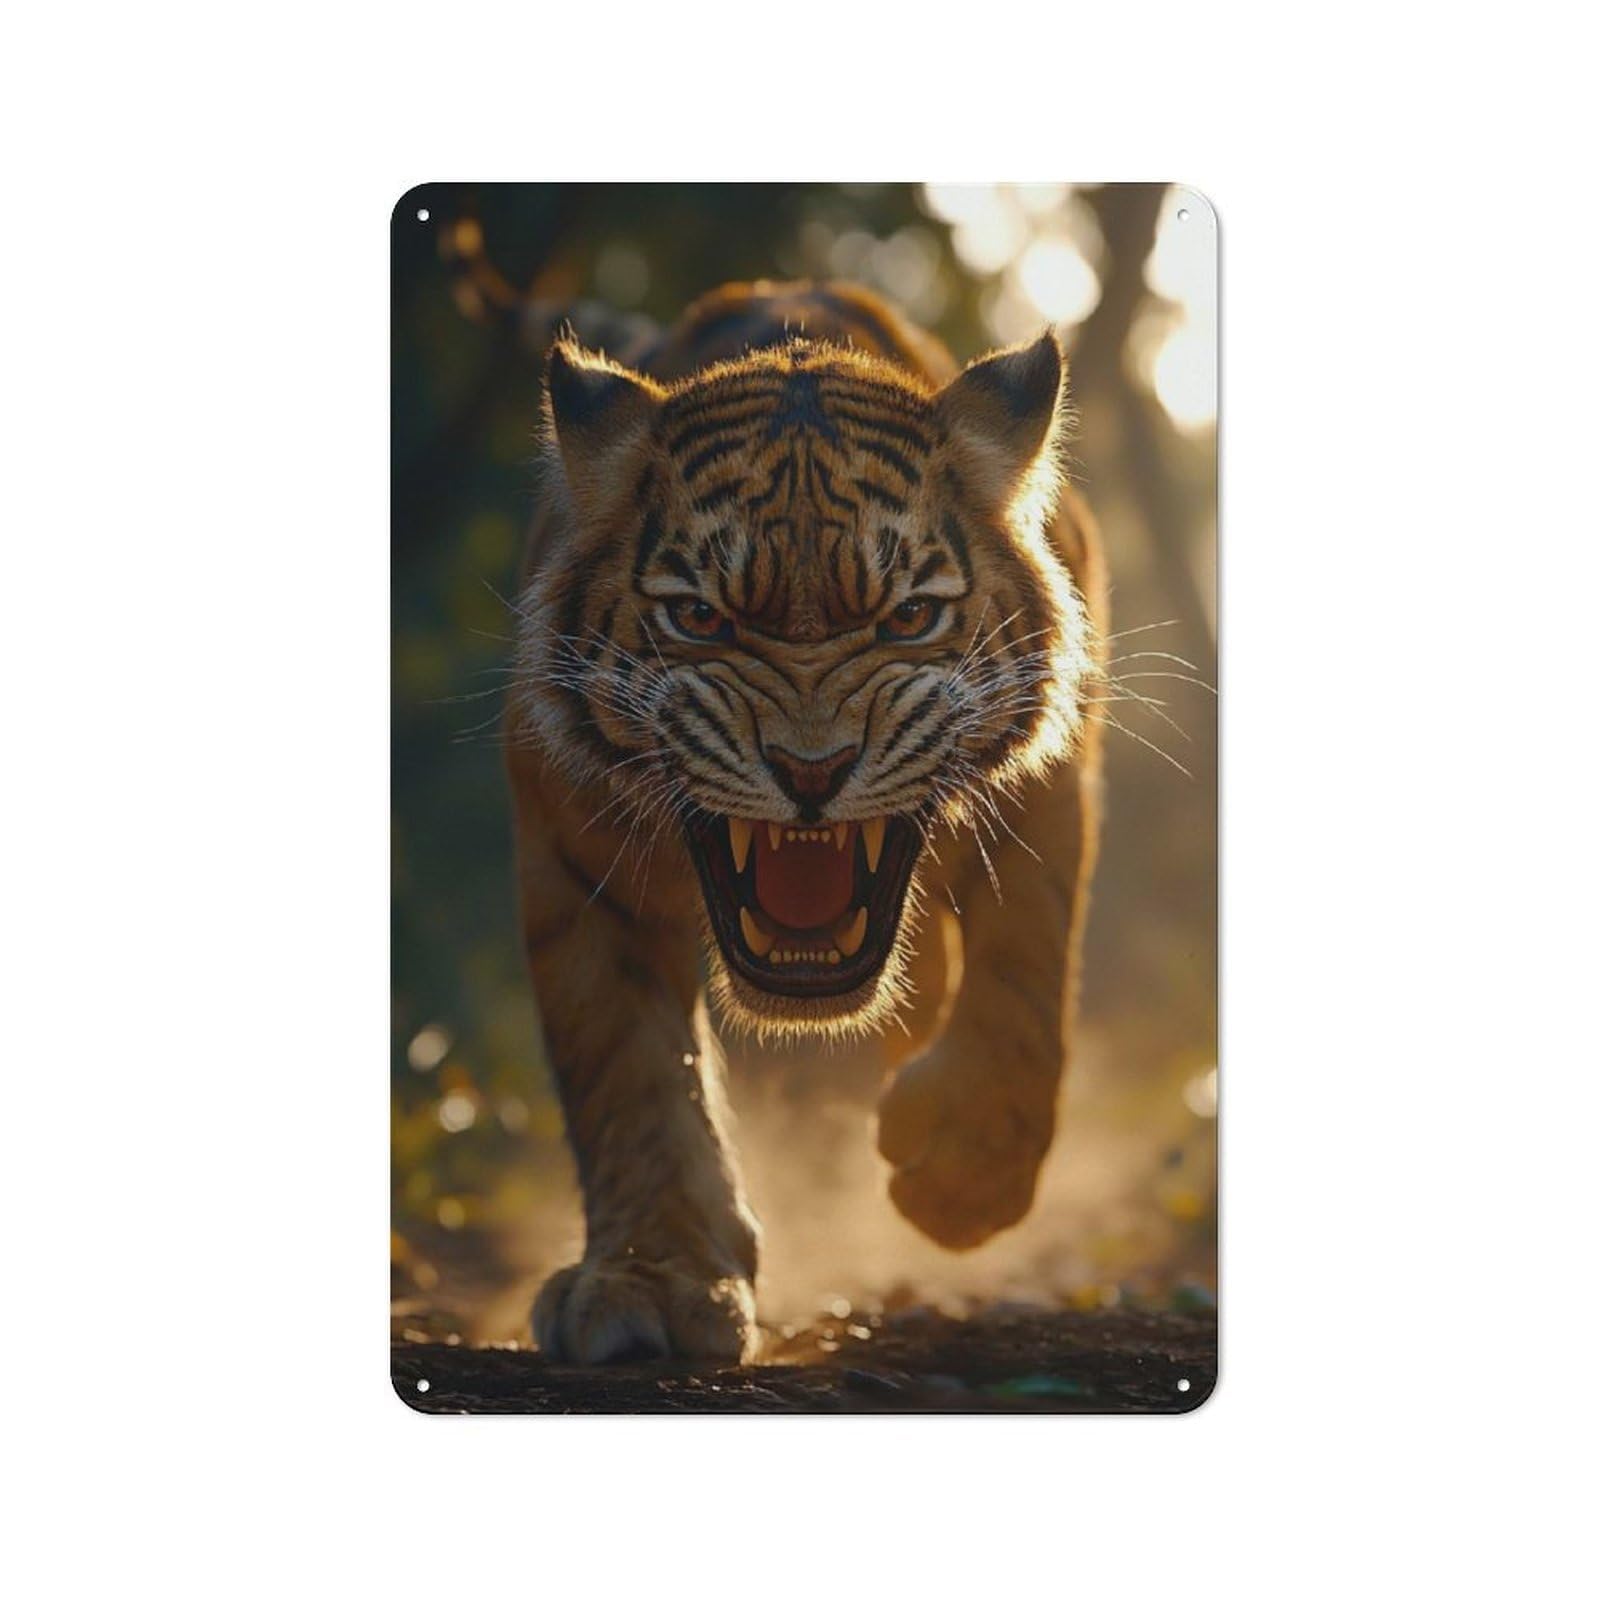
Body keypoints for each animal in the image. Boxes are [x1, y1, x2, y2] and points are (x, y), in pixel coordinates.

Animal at [502, 280, 1107, 1363]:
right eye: (700, 618)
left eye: (908, 618)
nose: (811, 770)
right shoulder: (568, 838)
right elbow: (629, 1068)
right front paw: (652, 1277)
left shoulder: (1053, 765)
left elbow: (1026, 967)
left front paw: (965, 1173)